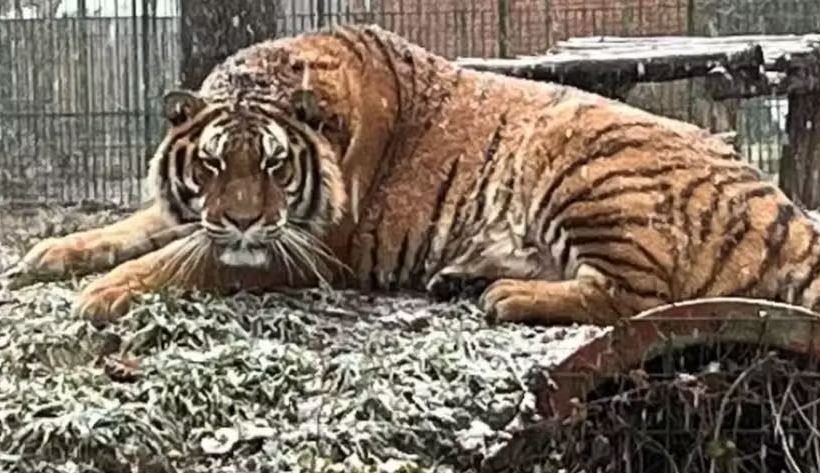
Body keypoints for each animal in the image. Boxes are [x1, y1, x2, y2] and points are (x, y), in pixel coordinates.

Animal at [4, 23, 820, 328]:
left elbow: (181, 257)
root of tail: (781, 205)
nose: (240, 218)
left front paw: (102, 293)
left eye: (274, 165)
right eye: (211, 163)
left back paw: (504, 294)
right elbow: (138, 225)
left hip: (583, 163)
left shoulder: (310, 246)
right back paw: (462, 277)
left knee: (639, 297)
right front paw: (48, 254)